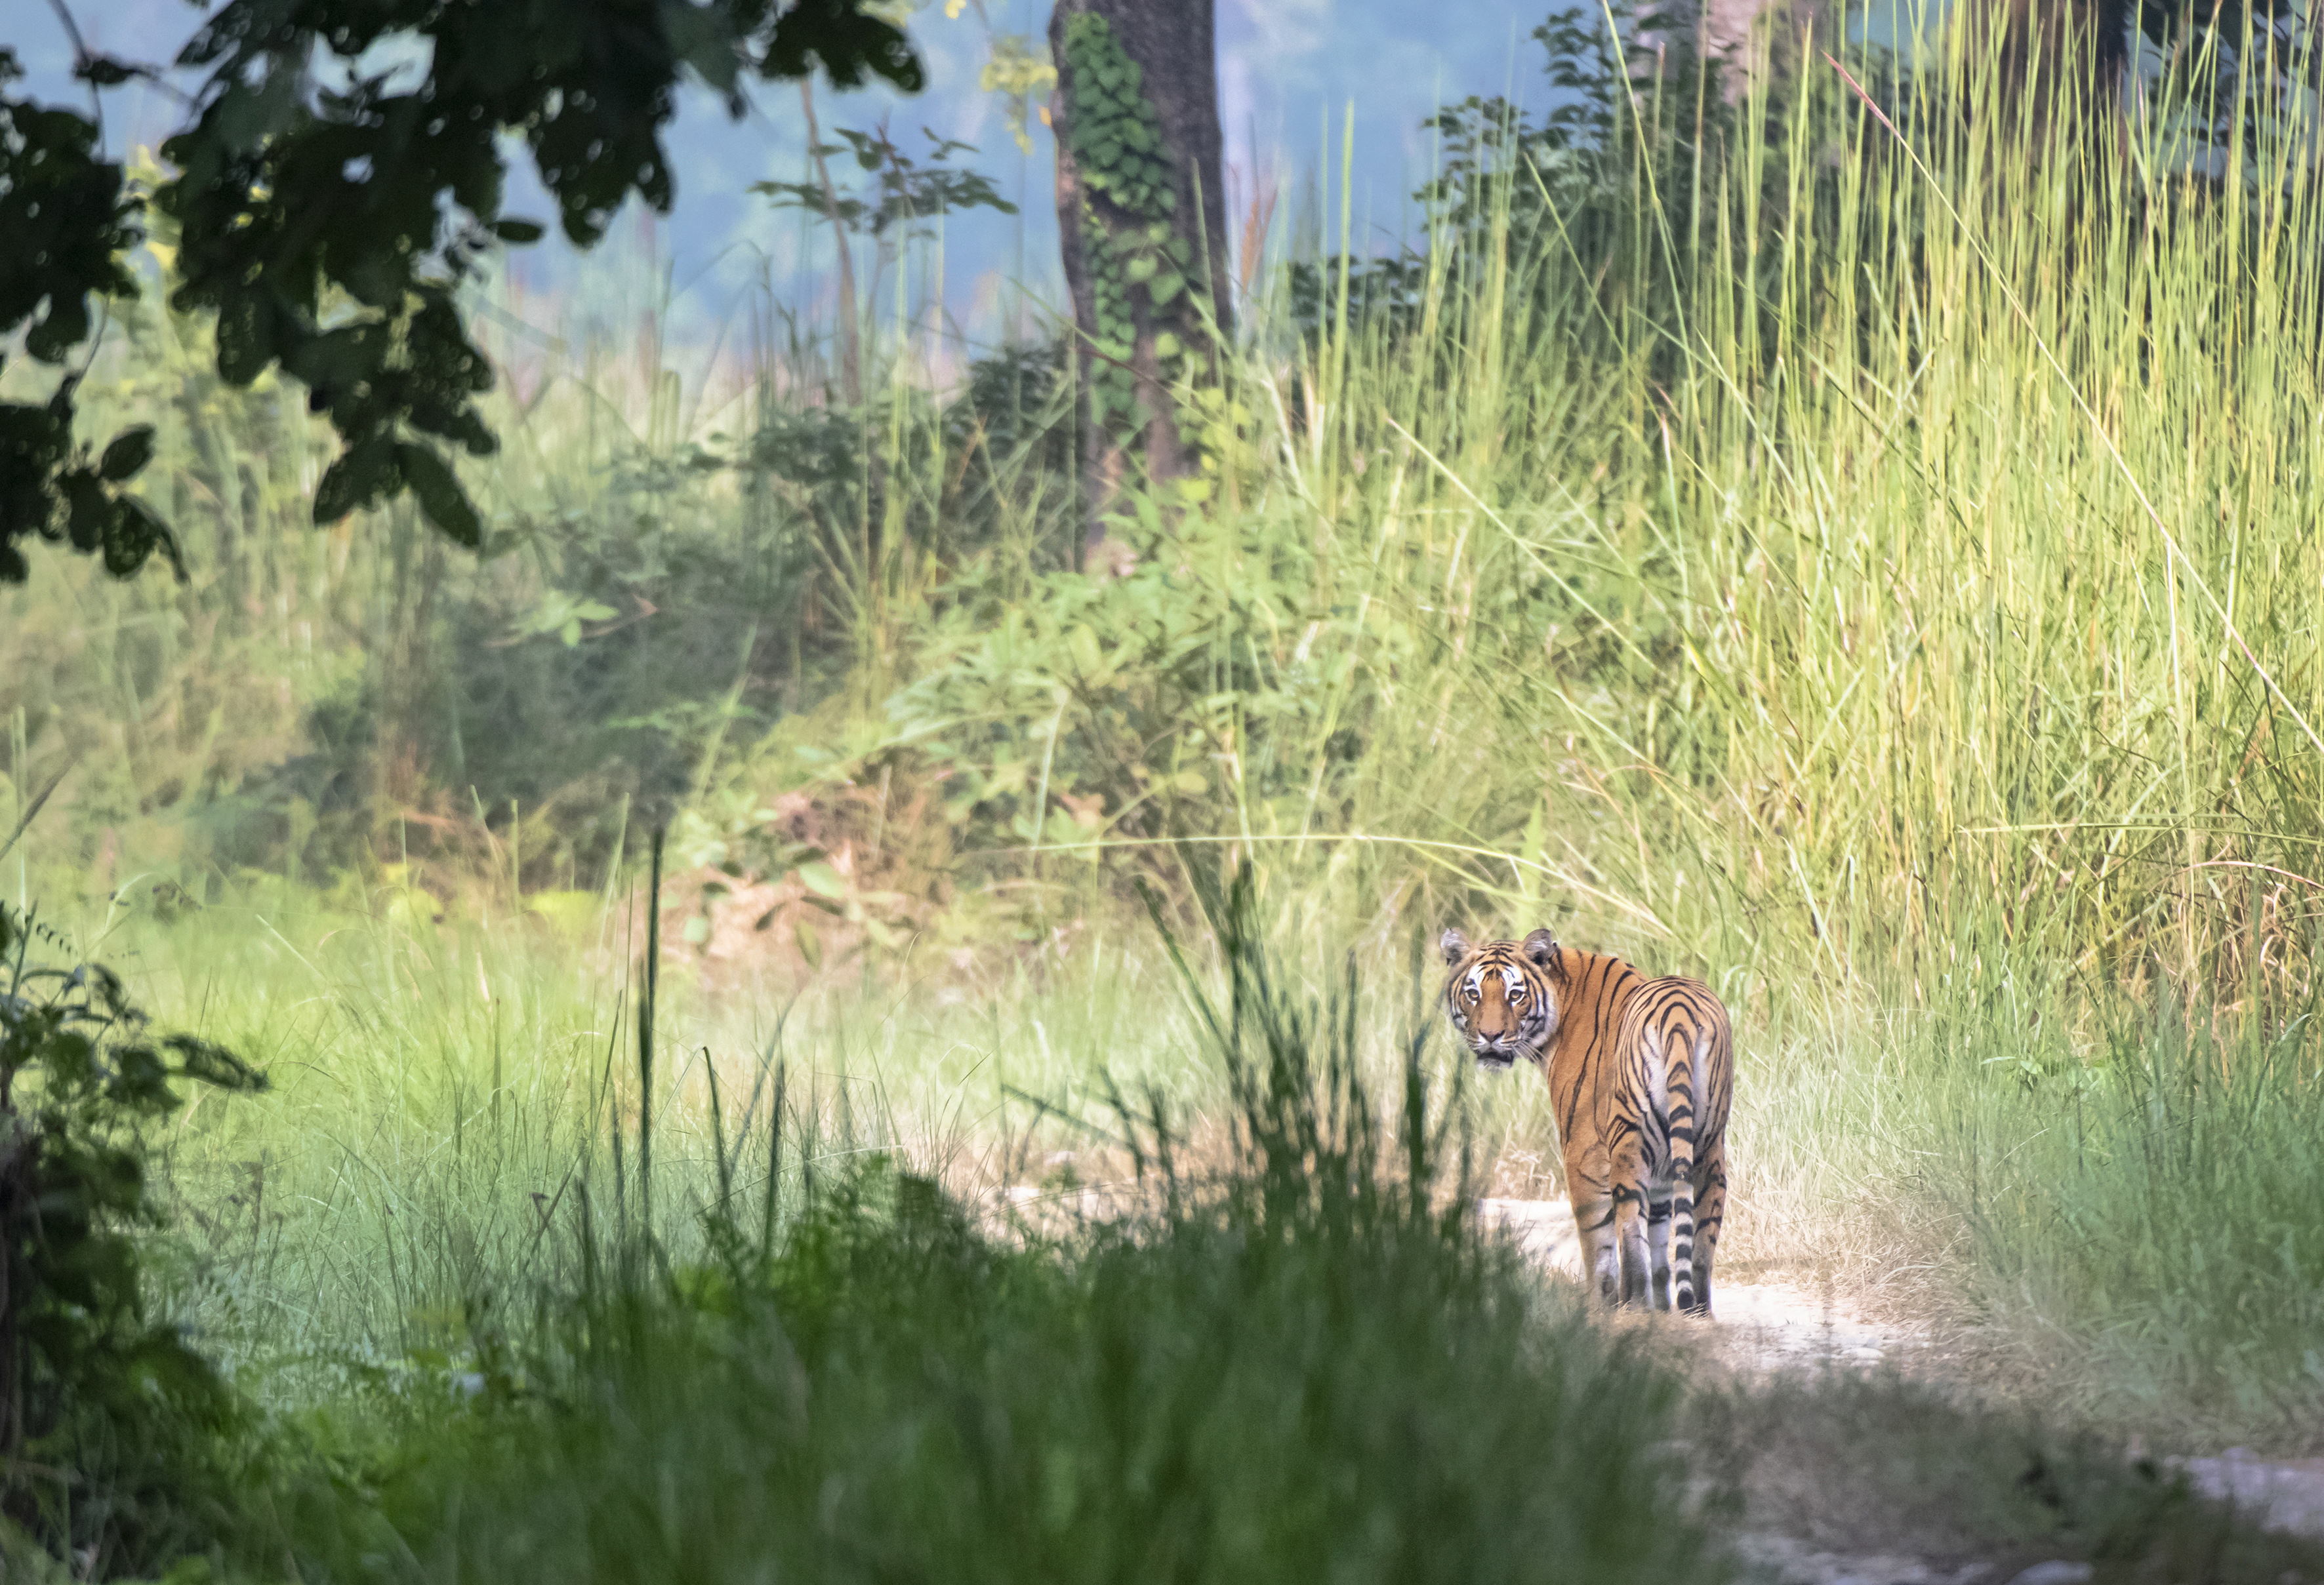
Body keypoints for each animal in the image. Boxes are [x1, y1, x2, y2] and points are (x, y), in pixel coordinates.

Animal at [1442, 926, 1733, 1316]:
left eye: (1515, 995)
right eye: (1473, 994)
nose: (1490, 1037)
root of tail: (1680, 1014)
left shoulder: (1583, 1154)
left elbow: (1599, 1246)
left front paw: (1601, 1308)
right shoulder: (1662, 1172)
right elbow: (1660, 1240)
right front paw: (1662, 1311)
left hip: (1627, 1145)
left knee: (1628, 1231)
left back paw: (1634, 1307)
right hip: (1709, 1149)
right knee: (1700, 1245)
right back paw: (1698, 1314)